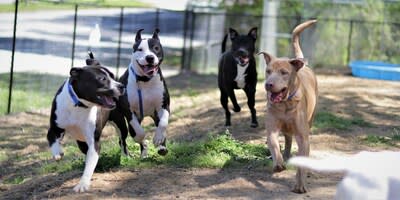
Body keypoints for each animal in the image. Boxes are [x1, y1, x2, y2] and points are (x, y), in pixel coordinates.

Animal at [47, 52, 125, 192]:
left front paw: (82, 184)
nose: (121, 86)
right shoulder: (54, 128)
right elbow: (52, 140)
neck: (80, 104)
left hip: (121, 124)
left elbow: (90, 165)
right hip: (81, 143)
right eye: (102, 79)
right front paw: (58, 153)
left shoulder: (94, 142)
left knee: (123, 142)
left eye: (113, 76)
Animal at [260, 19, 318, 193]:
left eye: (284, 72)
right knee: (287, 139)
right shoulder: (272, 127)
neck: (285, 104)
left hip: (310, 120)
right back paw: (284, 155)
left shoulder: (303, 137)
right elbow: (273, 144)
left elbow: (301, 164)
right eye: (268, 71)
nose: (268, 84)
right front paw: (278, 163)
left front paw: (300, 185)